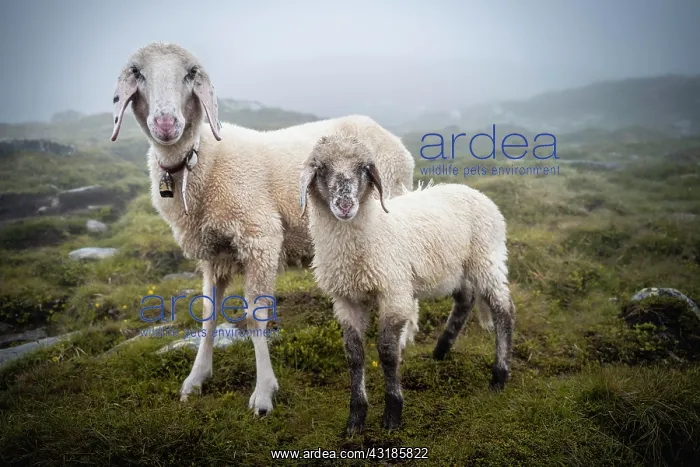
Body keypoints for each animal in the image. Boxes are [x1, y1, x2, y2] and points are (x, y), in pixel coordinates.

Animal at [110, 42, 415, 415]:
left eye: (190, 74)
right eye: (137, 74)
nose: (166, 123)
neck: (200, 160)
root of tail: (391, 138)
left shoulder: (259, 237)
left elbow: (256, 318)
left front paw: (264, 393)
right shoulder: (214, 253)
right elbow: (208, 315)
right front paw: (195, 379)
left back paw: (403, 337)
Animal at [299, 132, 515, 433]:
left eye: (364, 168)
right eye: (321, 168)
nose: (344, 205)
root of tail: (474, 192)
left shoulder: (394, 293)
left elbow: (388, 352)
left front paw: (392, 414)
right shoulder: (345, 300)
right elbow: (354, 355)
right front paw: (355, 419)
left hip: (486, 258)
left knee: (502, 309)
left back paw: (499, 376)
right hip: (456, 268)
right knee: (466, 299)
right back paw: (440, 351)